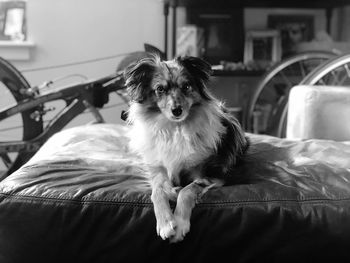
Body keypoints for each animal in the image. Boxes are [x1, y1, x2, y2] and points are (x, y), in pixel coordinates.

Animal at [123, 55, 249, 243]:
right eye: (160, 89)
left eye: (187, 86)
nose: (177, 110)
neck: (175, 129)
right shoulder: (157, 170)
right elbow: (158, 191)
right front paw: (166, 222)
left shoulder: (211, 175)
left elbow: (187, 190)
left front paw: (180, 224)